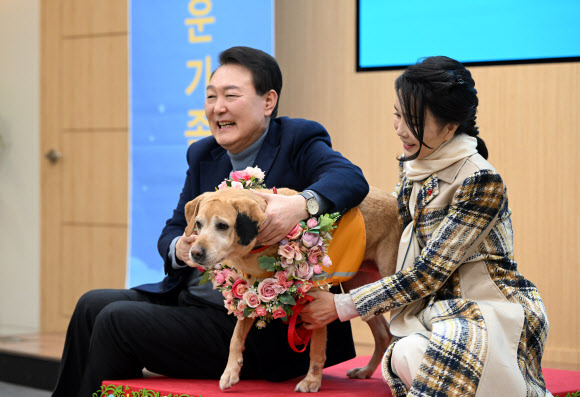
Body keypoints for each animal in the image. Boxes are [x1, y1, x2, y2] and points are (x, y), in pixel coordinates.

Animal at [184, 187, 402, 392]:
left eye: (222, 226)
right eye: (198, 224)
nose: (195, 253)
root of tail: (394, 200)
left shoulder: (317, 305)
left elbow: (316, 350)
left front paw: (312, 381)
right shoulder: (250, 297)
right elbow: (235, 338)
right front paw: (230, 372)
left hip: (387, 278)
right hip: (359, 288)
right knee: (383, 334)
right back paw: (366, 371)